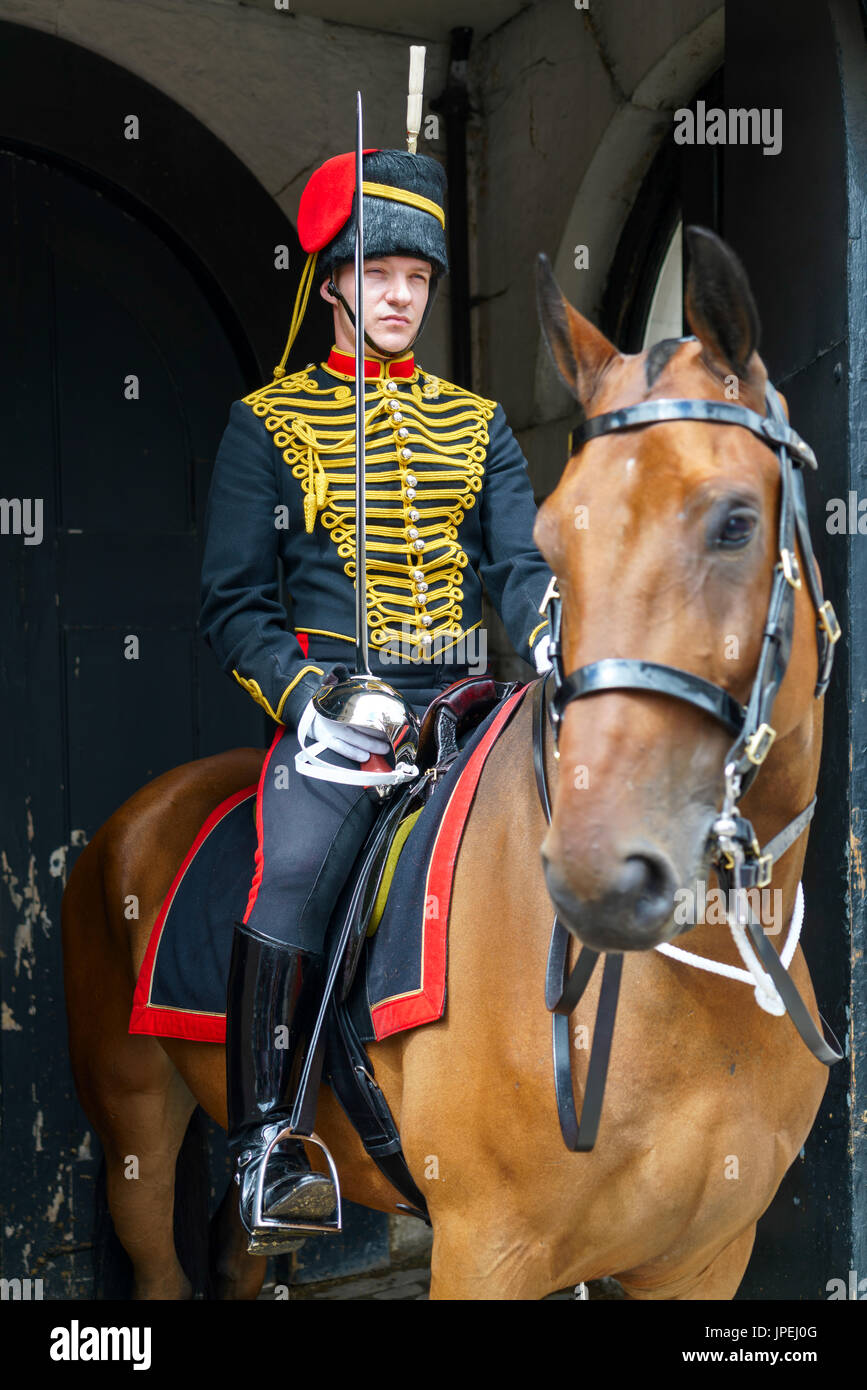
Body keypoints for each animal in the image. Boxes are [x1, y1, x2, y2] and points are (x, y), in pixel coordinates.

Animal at [61, 230, 833, 1301]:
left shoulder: (705, 1259)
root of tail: (138, 815)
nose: (596, 874)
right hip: (134, 1117)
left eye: (733, 522)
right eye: (554, 534)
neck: (695, 993)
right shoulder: (485, 1250)